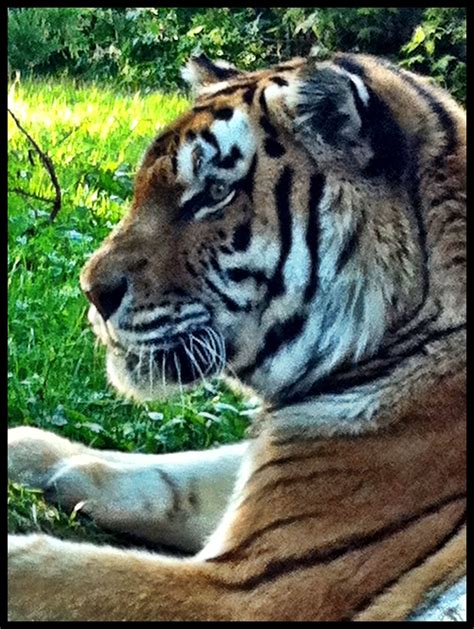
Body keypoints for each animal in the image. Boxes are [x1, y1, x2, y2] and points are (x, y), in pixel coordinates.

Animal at [8, 51, 466, 620]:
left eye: (215, 194)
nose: (92, 291)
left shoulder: (251, 590)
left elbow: (50, 572)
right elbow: (172, 471)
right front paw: (32, 452)